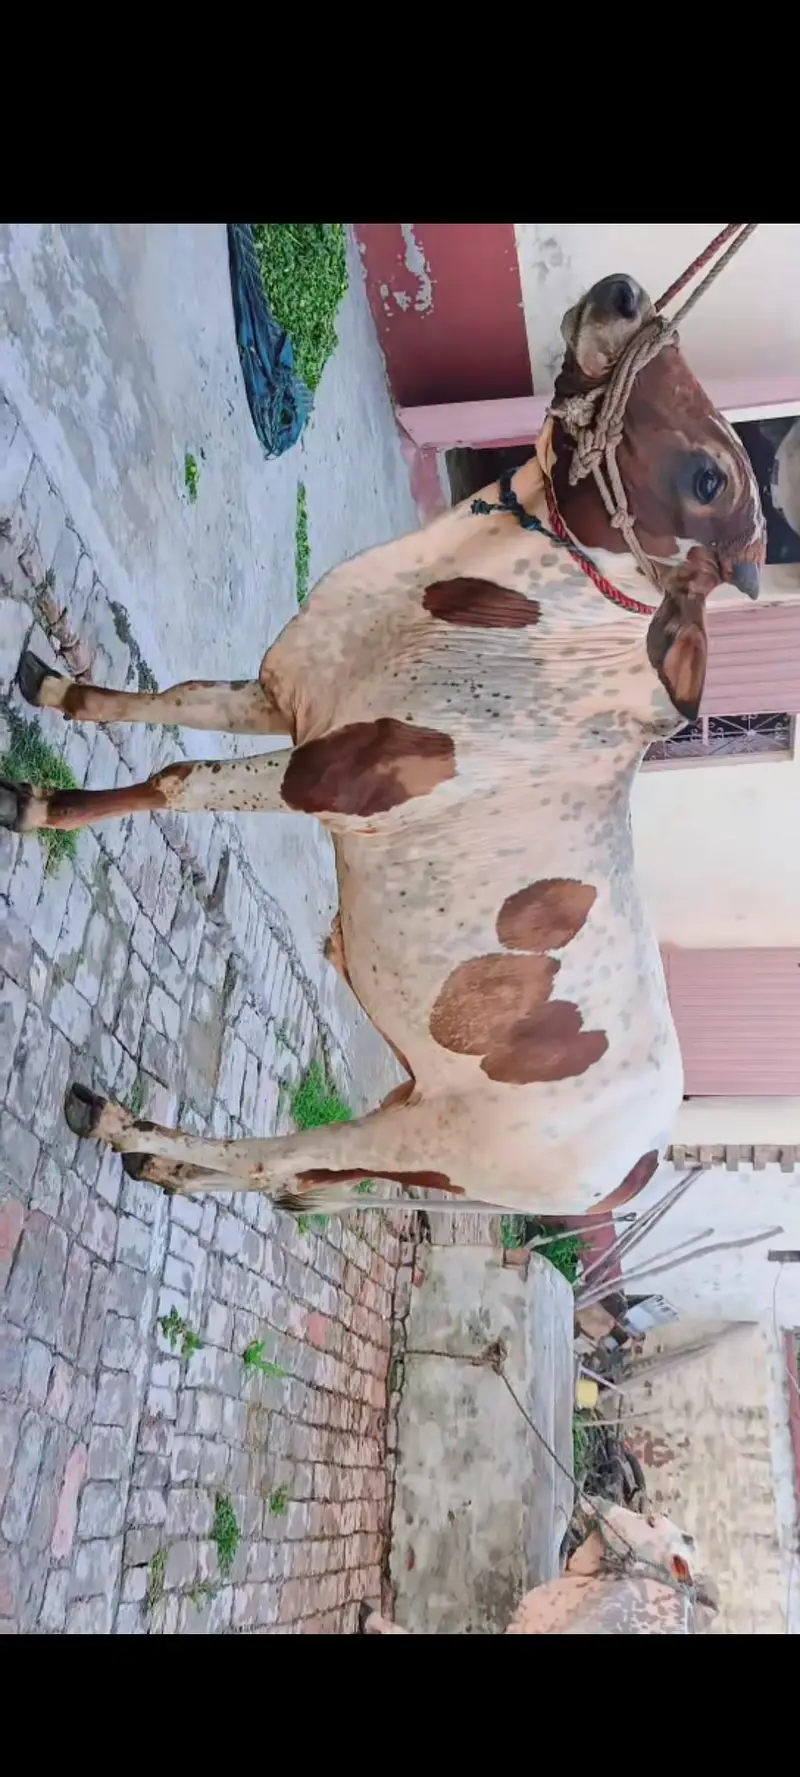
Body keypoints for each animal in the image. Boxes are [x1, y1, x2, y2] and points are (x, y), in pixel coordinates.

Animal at [2, 271, 765, 1217]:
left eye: (709, 477)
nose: (625, 293)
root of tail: (641, 1166)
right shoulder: (290, 700)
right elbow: (172, 701)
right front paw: (56, 690)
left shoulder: (319, 776)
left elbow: (178, 778)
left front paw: (35, 805)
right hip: (411, 1116)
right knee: (302, 1180)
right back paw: (167, 1166)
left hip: (424, 1138)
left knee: (281, 1165)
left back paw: (124, 1127)